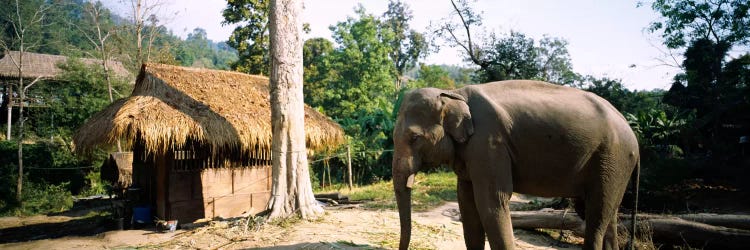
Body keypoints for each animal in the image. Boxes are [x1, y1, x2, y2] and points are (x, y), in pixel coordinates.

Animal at [394, 80, 640, 250]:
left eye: (414, 138)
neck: (454, 93)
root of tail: (632, 133)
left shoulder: (489, 144)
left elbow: (491, 202)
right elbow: (466, 202)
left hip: (613, 158)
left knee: (597, 213)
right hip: (611, 165)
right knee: (602, 212)